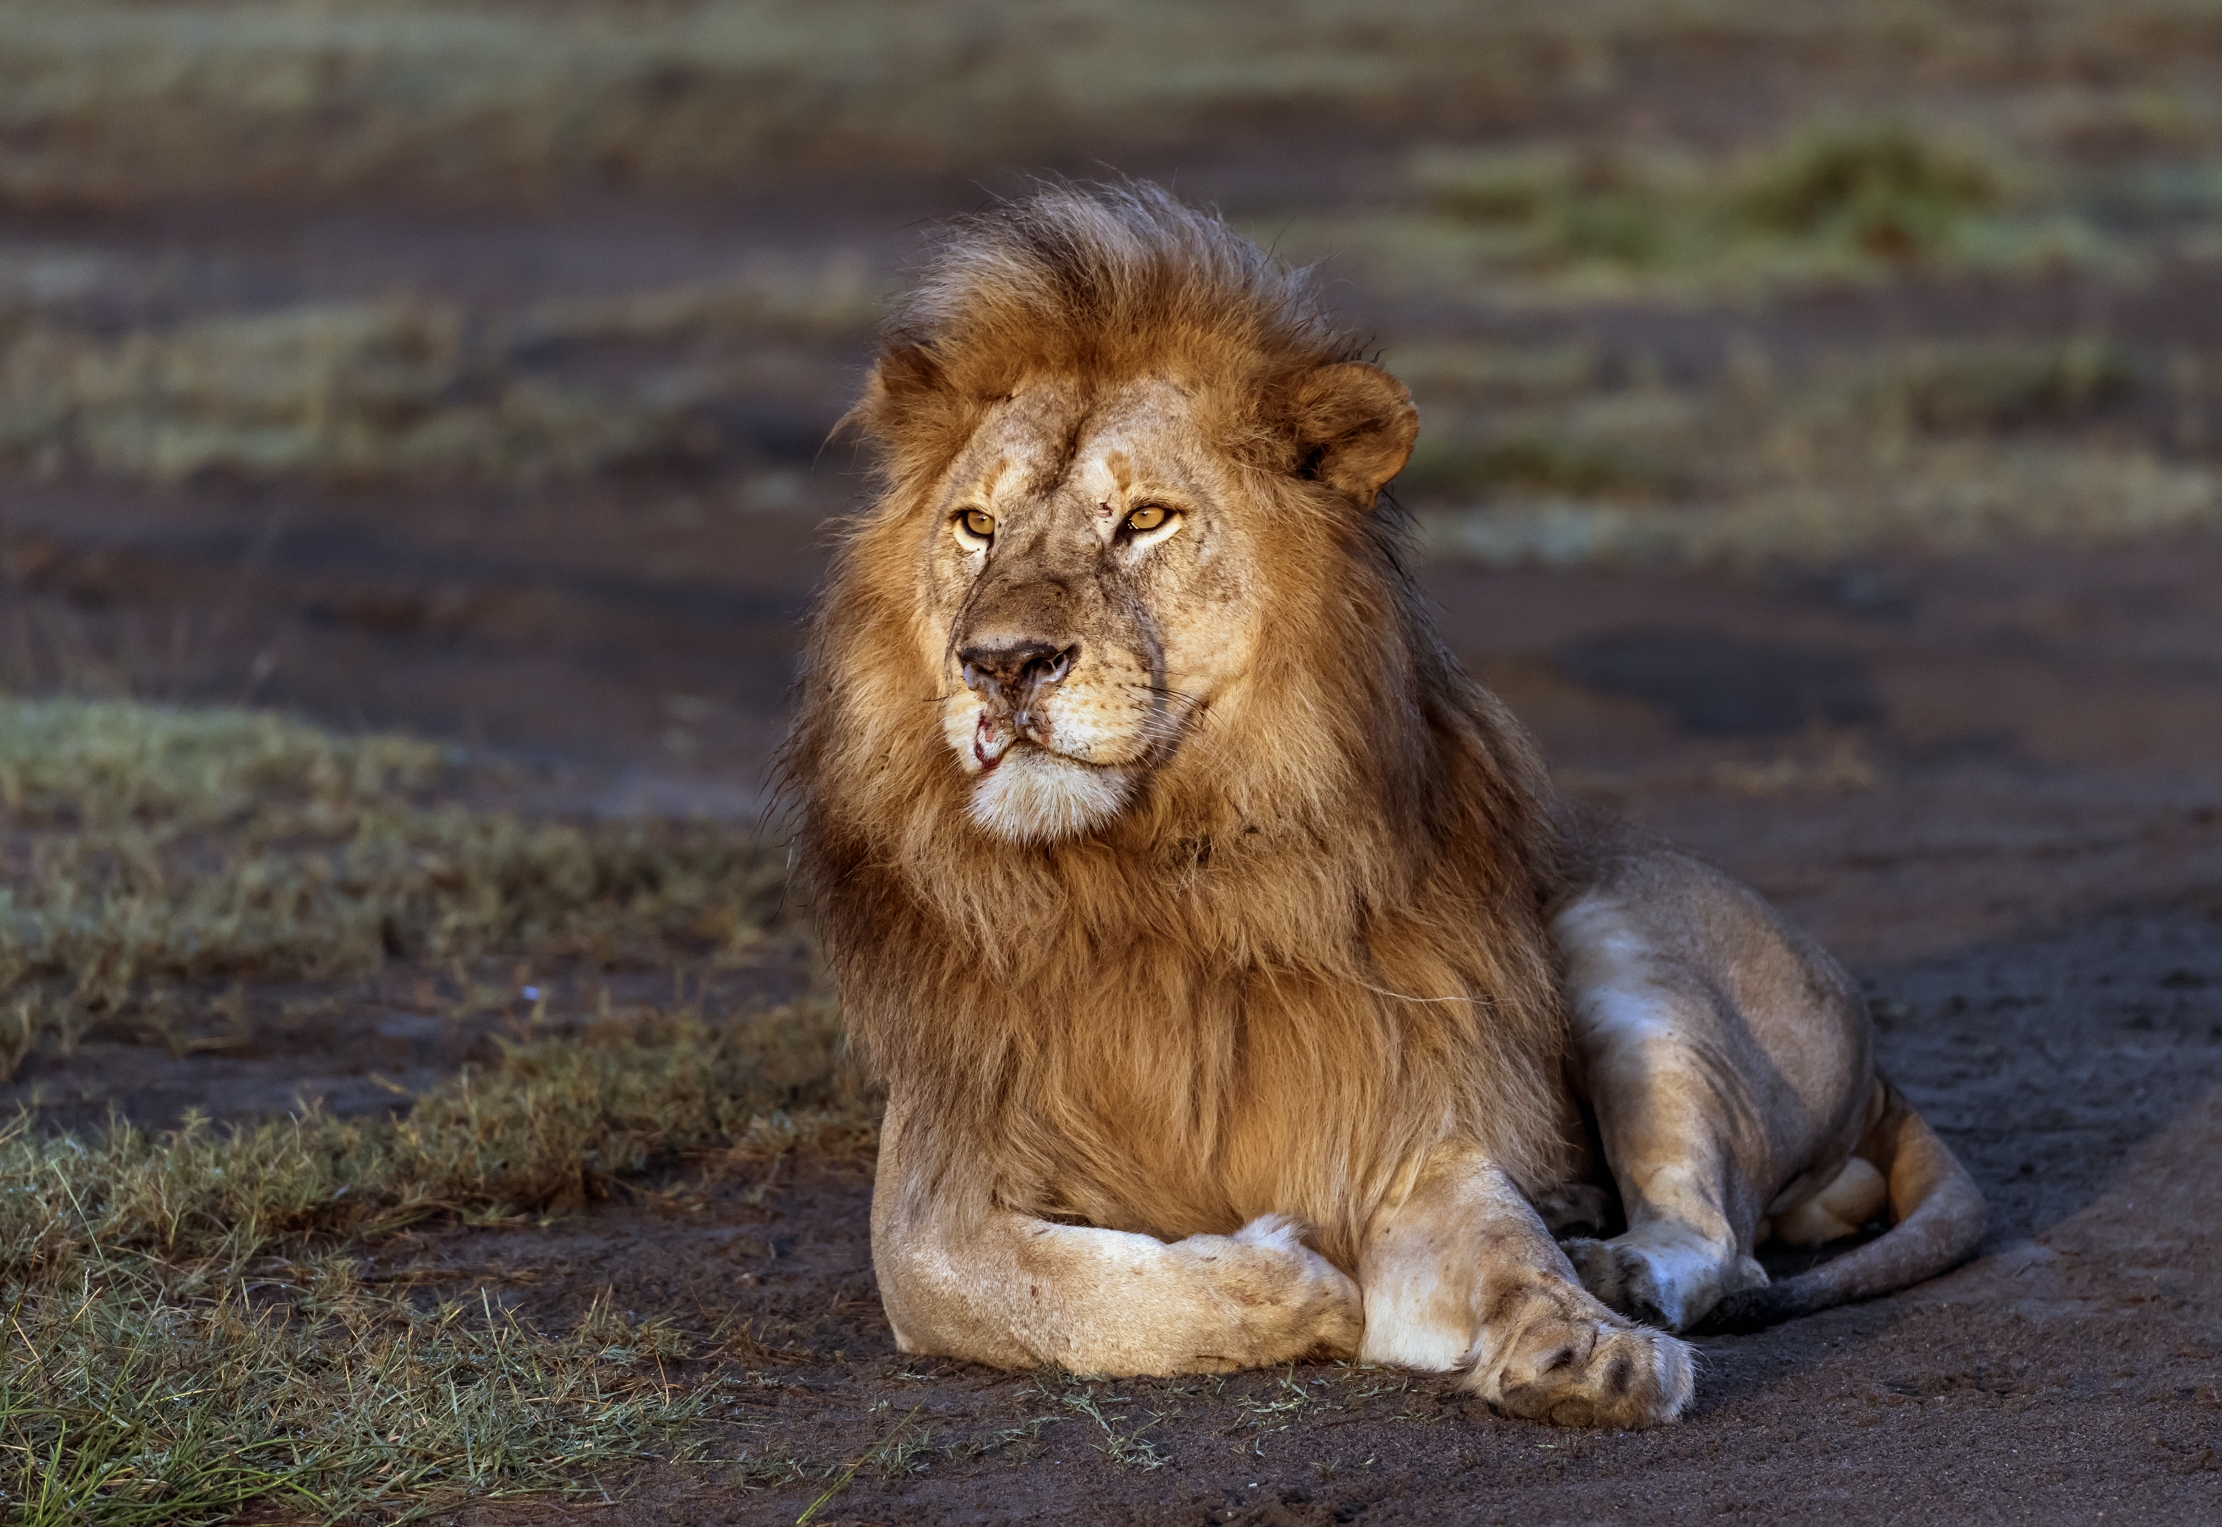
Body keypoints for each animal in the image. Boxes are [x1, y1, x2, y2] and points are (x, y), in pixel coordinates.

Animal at [785, 182, 1986, 1429]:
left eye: (1146, 520)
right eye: (974, 525)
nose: (1000, 664)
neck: (1156, 873)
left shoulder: (1403, 1129)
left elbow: (1504, 1245)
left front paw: (1588, 1346)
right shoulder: (929, 1209)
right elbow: (1066, 1294)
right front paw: (1296, 1289)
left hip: (1615, 936)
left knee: (1719, 1235)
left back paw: (1616, 1266)